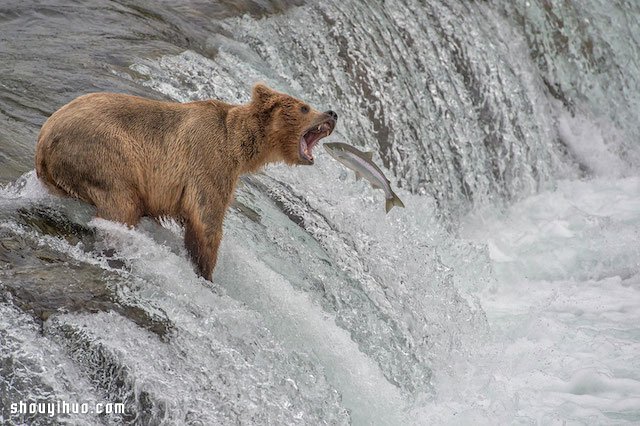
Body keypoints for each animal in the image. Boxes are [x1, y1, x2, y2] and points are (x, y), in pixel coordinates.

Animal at [35, 85, 338, 282]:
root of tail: (43, 140)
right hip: (103, 152)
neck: (238, 146)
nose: (332, 113)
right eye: (304, 107)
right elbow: (205, 220)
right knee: (121, 203)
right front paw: (205, 271)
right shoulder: (208, 161)